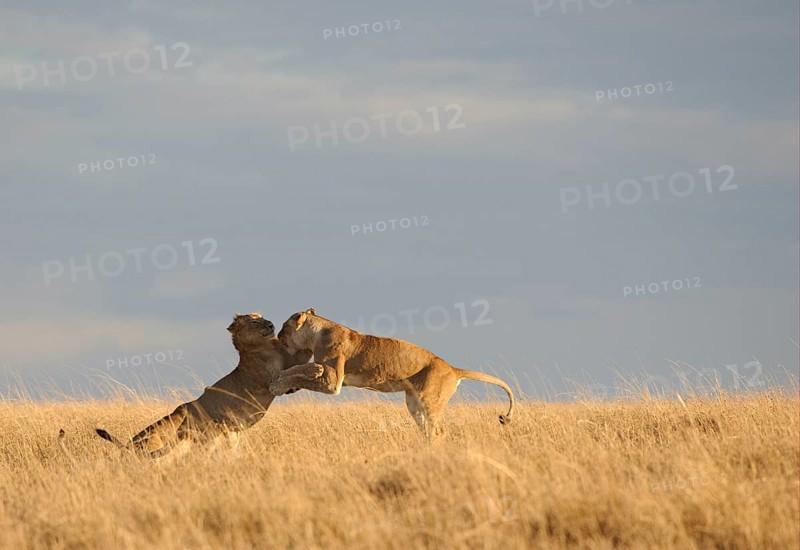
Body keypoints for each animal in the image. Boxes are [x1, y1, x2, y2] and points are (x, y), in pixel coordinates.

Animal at [94, 313, 320, 459]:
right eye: (255, 321)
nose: (271, 323)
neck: (263, 345)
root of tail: (183, 412)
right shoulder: (273, 380)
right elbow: (296, 369)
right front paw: (317, 368)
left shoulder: (288, 361)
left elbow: (300, 361)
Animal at [269, 308, 515, 439]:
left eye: (284, 327)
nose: (277, 336)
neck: (316, 334)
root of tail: (453, 369)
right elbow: (300, 375)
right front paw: (285, 386)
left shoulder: (333, 382)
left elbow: (298, 371)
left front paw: (277, 384)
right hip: (414, 403)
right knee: (429, 431)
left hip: (429, 400)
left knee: (439, 432)